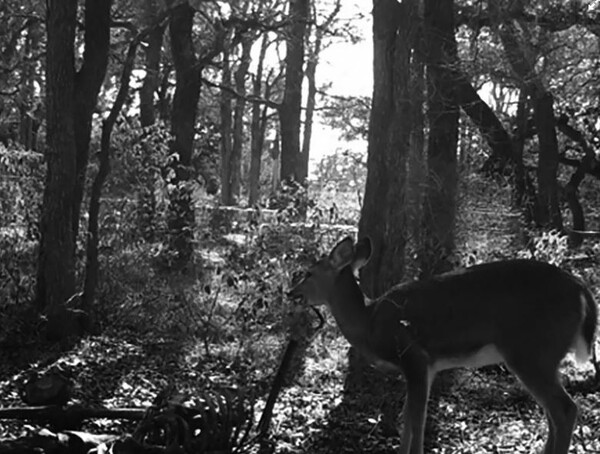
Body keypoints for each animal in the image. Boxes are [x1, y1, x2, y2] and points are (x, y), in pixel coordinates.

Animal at [288, 236, 596, 454]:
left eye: (309, 273)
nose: (291, 293)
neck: (370, 321)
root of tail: (582, 289)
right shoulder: (427, 367)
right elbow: (409, 417)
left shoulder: (414, 355)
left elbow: (416, 418)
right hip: (542, 356)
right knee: (553, 413)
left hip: (532, 350)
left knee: (565, 409)